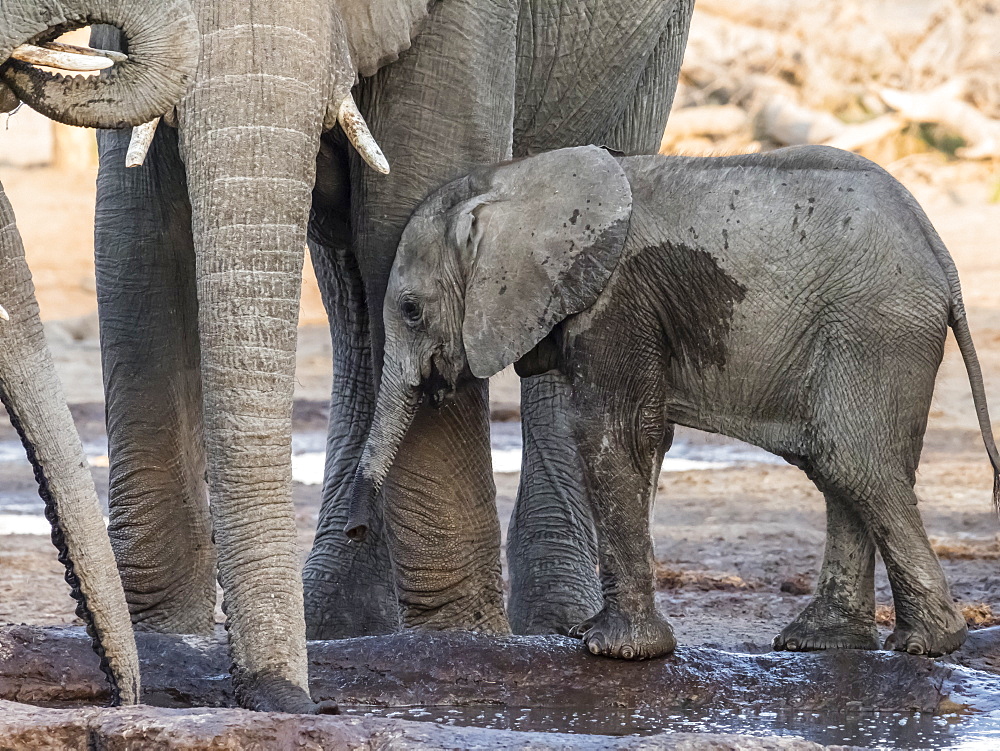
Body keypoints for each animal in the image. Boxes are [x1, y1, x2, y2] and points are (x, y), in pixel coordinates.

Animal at [94, 0, 696, 712]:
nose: (296, 703)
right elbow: (134, 229)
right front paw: (160, 640)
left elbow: (410, 195)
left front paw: (463, 643)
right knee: (345, 286)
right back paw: (334, 623)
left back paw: (557, 626)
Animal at [348, 145, 996, 656]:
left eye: (410, 309)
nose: (357, 529)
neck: (516, 178)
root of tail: (942, 257)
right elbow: (646, 439)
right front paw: (593, 635)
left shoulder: (616, 299)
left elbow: (611, 432)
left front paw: (612, 650)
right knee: (840, 468)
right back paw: (821, 641)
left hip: (875, 327)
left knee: (853, 463)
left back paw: (926, 645)